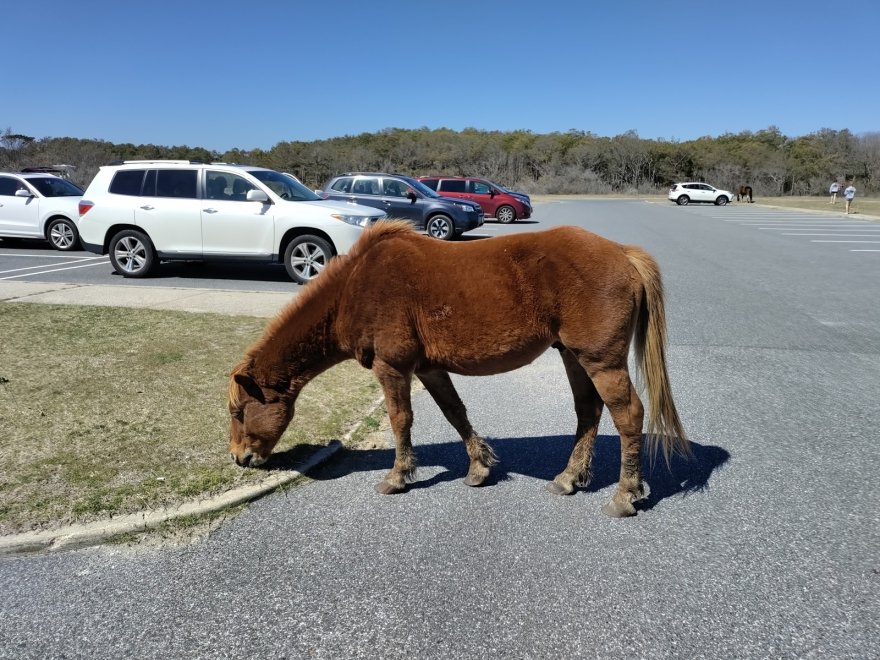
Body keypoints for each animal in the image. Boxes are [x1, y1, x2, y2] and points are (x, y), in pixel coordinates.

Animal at [227, 220, 688, 516]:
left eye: (238, 411)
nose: (239, 458)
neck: (355, 287)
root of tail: (623, 254)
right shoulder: (428, 368)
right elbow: (454, 413)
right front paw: (480, 467)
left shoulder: (393, 368)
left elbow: (400, 420)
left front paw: (398, 476)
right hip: (573, 355)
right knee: (588, 412)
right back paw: (569, 477)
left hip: (600, 361)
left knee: (628, 416)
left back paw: (626, 495)